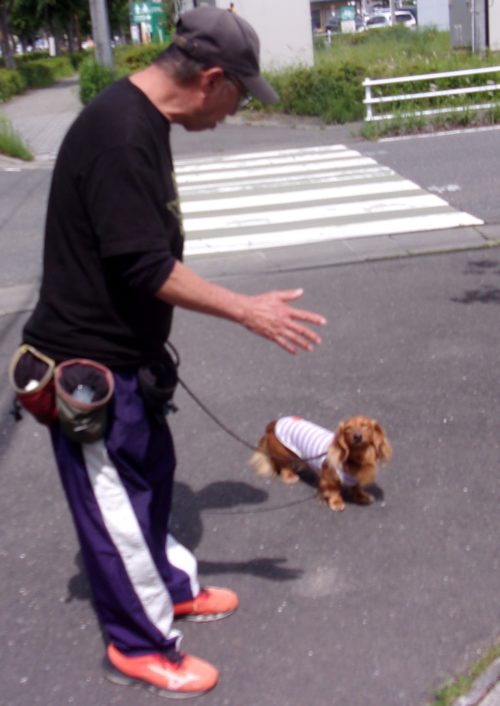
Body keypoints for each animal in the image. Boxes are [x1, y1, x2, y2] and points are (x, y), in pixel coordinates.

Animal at [249, 415, 392, 511]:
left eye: (364, 425)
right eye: (348, 429)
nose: (357, 436)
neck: (356, 457)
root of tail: (273, 423)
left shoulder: (355, 478)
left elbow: (357, 487)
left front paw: (362, 497)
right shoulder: (329, 478)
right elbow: (334, 490)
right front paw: (336, 503)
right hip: (283, 453)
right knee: (284, 467)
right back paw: (290, 476)